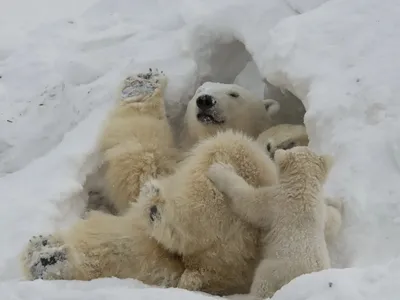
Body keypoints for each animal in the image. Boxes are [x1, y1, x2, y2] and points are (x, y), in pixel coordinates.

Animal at [206, 146, 340, 298]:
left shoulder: (275, 202)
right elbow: (333, 220)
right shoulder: (320, 210)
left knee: (261, 284)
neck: (304, 188)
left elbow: (248, 202)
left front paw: (219, 169)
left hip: (274, 269)